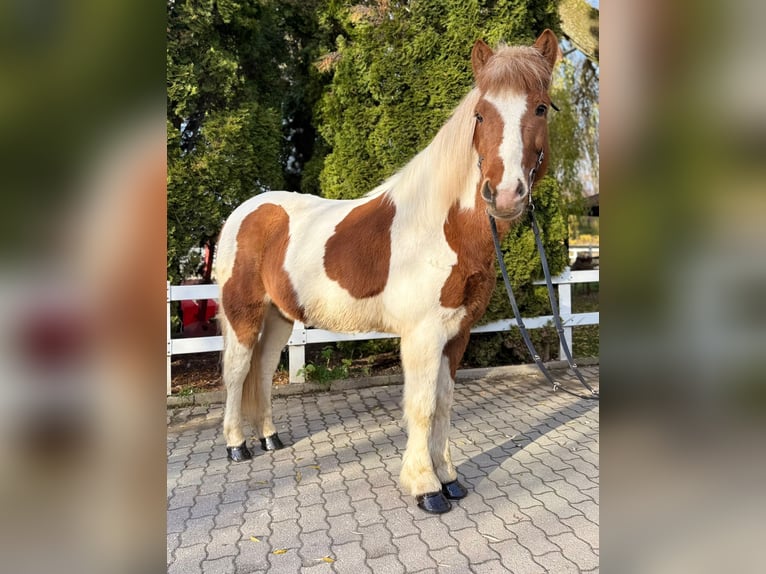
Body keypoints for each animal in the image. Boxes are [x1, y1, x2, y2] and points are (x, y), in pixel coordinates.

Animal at [214, 30, 559, 514]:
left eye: (541, 107)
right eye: (480, 114)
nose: (506, 194)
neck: (442, 226)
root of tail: (245, 211)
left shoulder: (458, 333)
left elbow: (445, 403)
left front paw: (450, 479)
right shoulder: (423, 335)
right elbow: (422, 406)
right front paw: (426, 488)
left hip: (279, 316)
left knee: (262, 371)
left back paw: (269, 438)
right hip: (242, 312)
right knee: (236, 372)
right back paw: (236, 446)